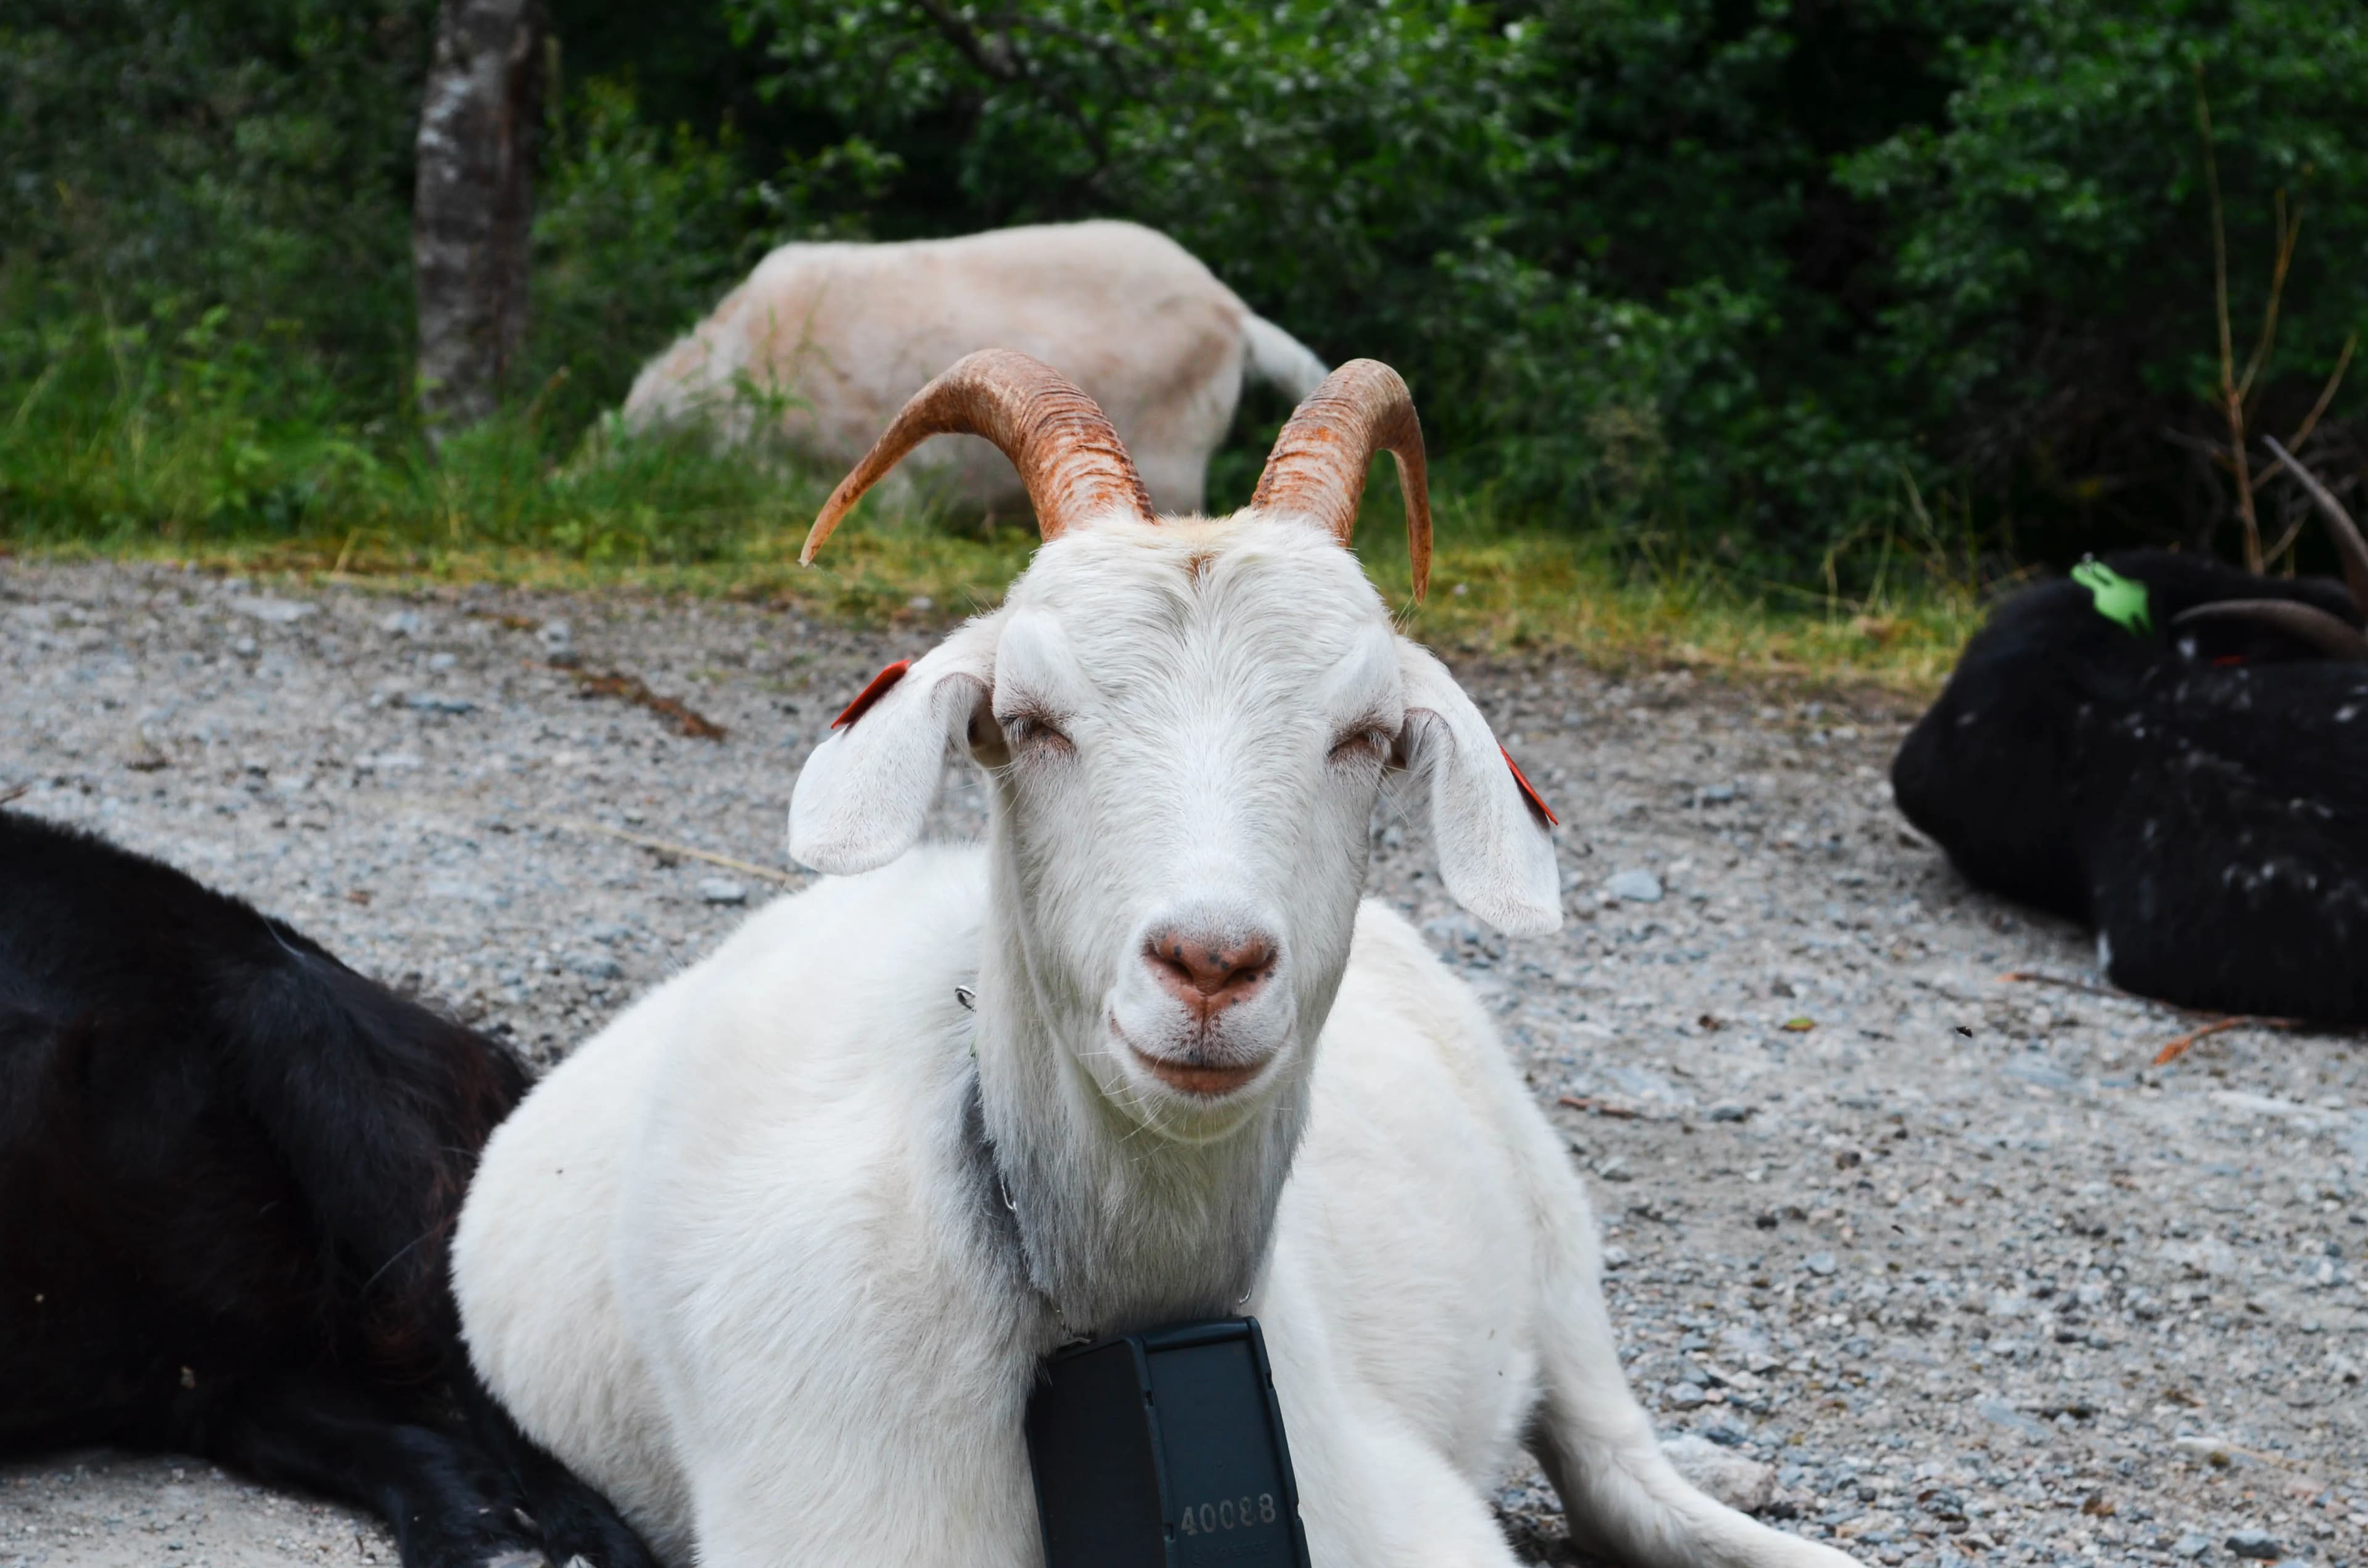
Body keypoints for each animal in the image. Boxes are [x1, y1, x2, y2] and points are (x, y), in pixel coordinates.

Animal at [0, 809, 655, 1568]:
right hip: (202, 1359)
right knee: (381, 1434)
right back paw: (465, 1529)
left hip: (309, 1041)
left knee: (474, 1325)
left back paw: (586, 1537)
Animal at [455, 350, 1857, 1567]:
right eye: (1026, 719)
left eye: (1367, 733)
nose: (1212, 962)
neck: (1120, 1307)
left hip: (1556, 1236)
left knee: (1624, 1471)